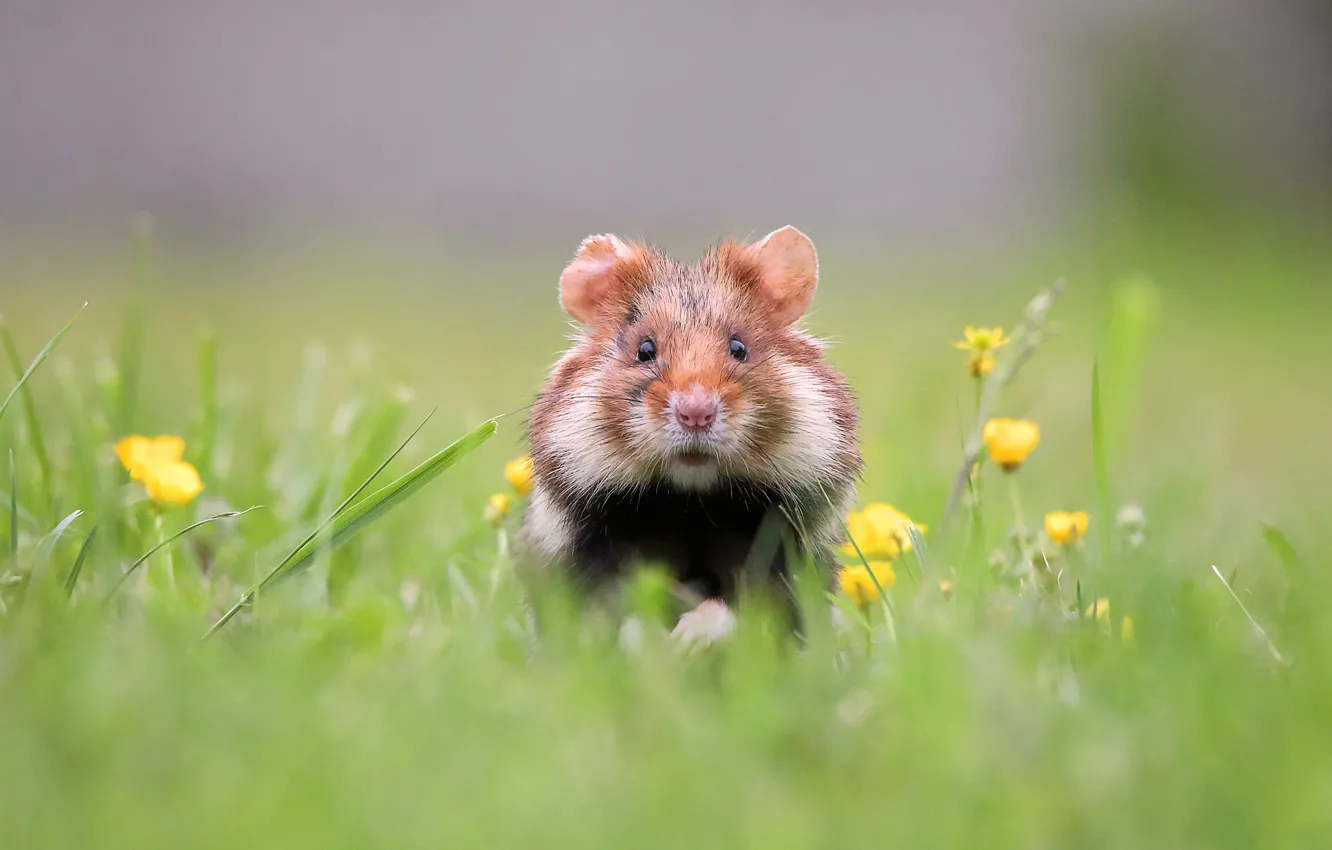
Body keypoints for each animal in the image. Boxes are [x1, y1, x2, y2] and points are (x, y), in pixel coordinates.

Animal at [519, 226, 861, 645]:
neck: (691, 505)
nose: (696, 414)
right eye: (645, 349)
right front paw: (656, 641)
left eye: (739, 348)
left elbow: (738, 609)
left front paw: (687, 640)